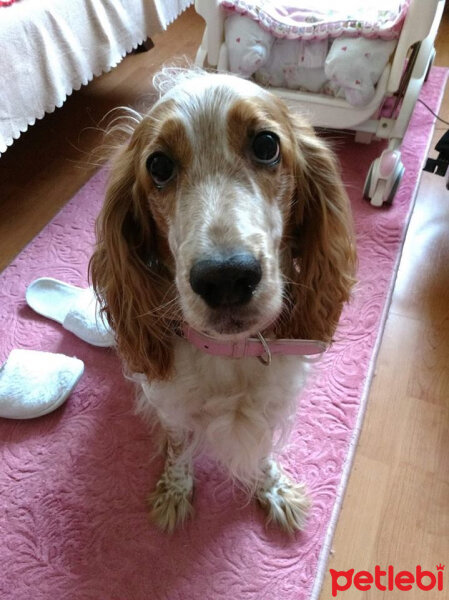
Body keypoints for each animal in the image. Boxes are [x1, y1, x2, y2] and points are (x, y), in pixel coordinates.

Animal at [89, 69, 356, 536]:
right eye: (159, 165)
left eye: (266, 145)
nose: (226, 277)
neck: (230, 354)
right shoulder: (171, 403)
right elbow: (179, 448)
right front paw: (175, 492)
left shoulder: (272, 402)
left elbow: (263, 453)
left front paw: (275, 489)